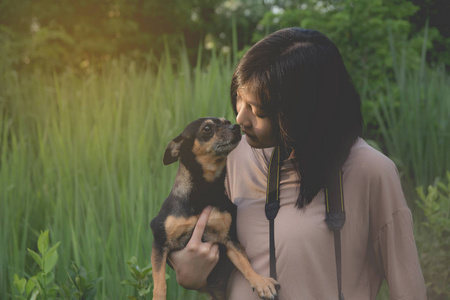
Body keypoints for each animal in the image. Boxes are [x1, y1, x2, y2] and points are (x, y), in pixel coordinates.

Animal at [149, 117, 280, 300]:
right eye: (207, 128)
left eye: (227, 122)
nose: (236, 127)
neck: (205, 192)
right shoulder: (160, 242)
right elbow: (160, 282)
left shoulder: (228, 239)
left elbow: (244, 262)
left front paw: (260, 281)